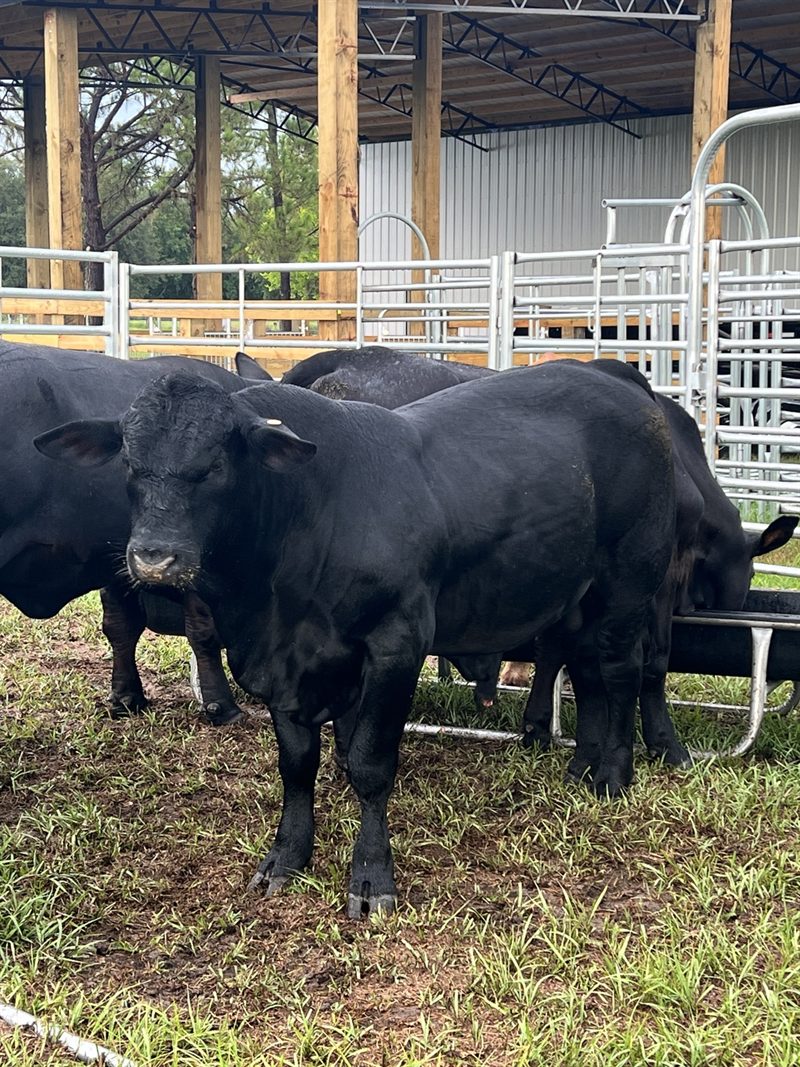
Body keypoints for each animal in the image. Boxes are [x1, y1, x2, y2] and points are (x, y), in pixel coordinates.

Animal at [2, 341, 249, 725]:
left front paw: (125, 695)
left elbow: (121, 626)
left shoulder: (121, 561)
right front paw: (220, 704)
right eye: (128, 463)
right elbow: (202, 629)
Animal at [37, 359, 676, 917]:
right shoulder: (286, 666)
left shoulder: (397, 645)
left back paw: (613, 775)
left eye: (215, 464)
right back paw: (581, 767)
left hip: (631, 577)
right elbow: (297, 765)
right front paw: (287, 856)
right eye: (129, 463)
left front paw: (370, 877)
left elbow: (369, 764)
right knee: (588, 670)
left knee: (620, 669)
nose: (154, 557)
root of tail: (615, 378)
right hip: (579, 594)